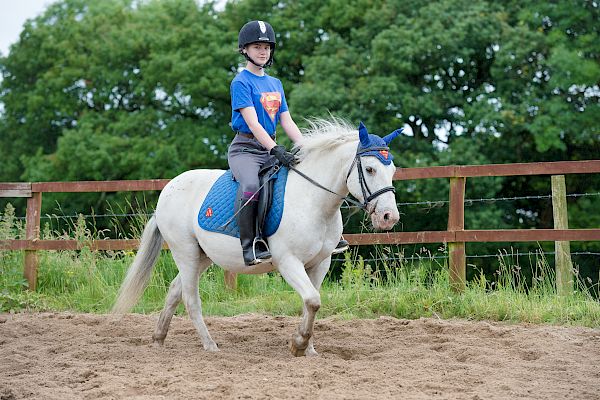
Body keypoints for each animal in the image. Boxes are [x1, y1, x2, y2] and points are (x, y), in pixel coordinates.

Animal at [114, 119, 400, 356]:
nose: (389, 217)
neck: (312, 200)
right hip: (185, 252)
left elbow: (311, 303)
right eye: (370, 169)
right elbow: (312, 300)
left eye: (393, 170)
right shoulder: (288, 262)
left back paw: (158, 338)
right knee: (190, 299)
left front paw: (308, 349)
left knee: (175, 290)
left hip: (203, 255)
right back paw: (210, 346)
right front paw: (298, 344)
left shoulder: (320, 263)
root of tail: (168, 189)